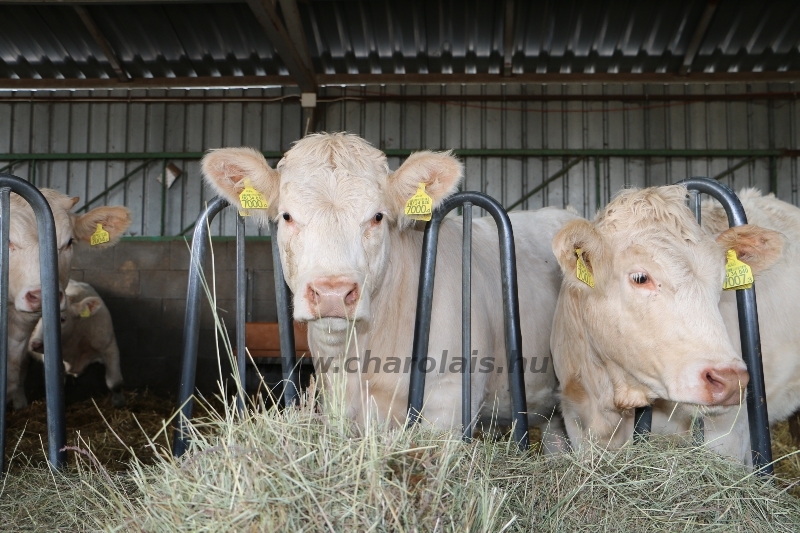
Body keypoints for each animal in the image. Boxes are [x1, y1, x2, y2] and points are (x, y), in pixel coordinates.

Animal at [27, 278, 125, 408]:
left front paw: (118, 402)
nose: (35, 344)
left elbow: (114, 382)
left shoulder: (109, 347)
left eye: (62, 319)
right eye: (34, 319)